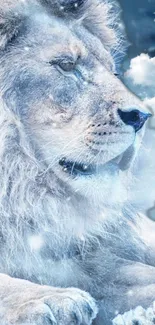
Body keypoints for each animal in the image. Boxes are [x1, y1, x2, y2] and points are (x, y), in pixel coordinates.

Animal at [0, 0, 154, 322]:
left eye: (113, 72)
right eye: (66, 66)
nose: (142, 116)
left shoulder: (81, 260)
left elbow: (131, 274)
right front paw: (48, 300)